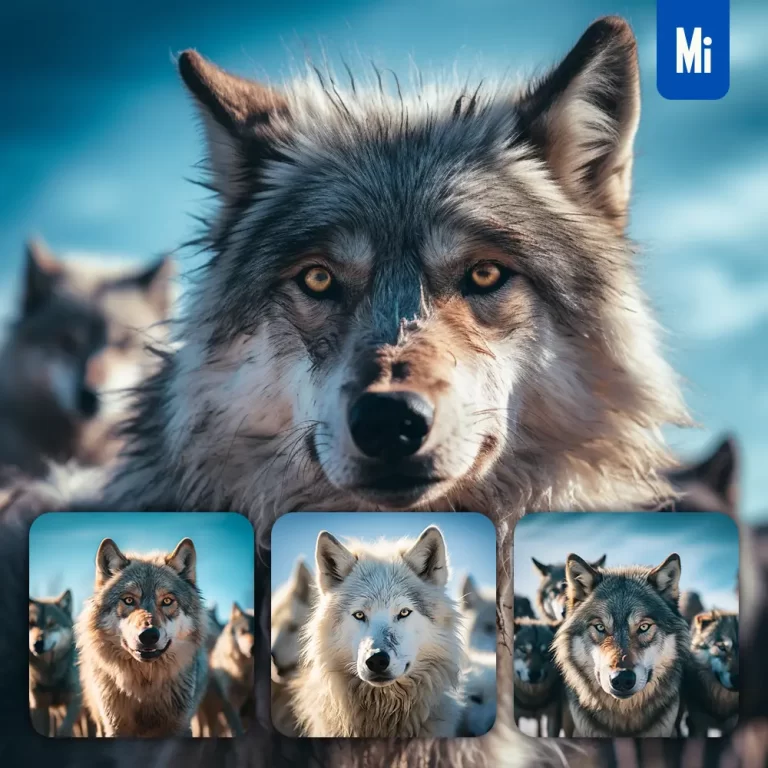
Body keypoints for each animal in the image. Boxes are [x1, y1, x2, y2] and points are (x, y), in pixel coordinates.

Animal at [28, 589, 83, 737]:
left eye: (52, 624)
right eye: (31, 624)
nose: (37, 644)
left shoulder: (74, 701)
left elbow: (63, 730)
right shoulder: (40, 706)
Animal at [76, 537, 208, 737]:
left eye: (167, 601)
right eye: (129, 600)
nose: (149, 635)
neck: (144, 688)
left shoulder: (180, 726)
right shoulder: (114, 728)